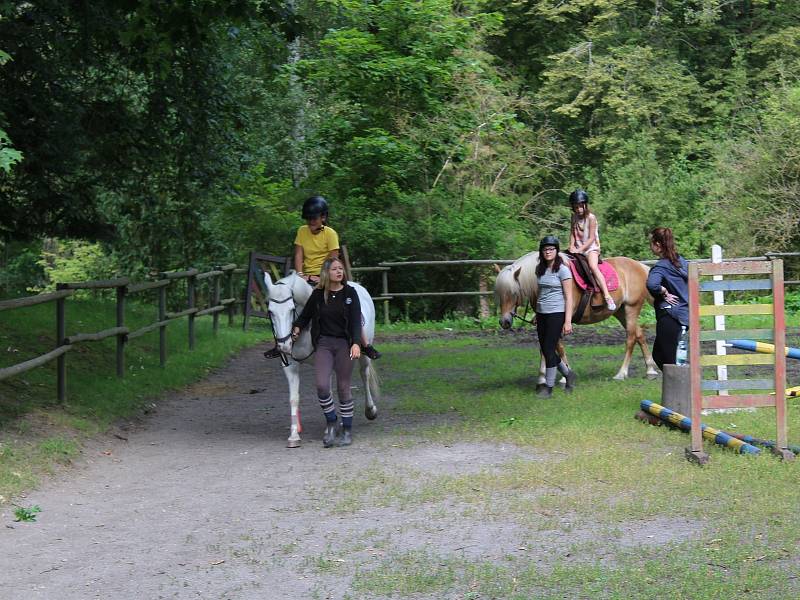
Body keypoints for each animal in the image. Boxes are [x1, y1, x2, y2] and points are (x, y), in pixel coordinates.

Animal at [260, 270, 378, 446]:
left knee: (364, 375)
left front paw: (330, 429)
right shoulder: (290, 365)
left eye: (291, 309)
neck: (305, 330)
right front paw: (294, 435)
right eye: (270, 311)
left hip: (362, 353)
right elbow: (294, 398)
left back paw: (370, 410)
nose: (284, 346)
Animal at [494, 250, 656, 380]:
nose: (504, 322)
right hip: (621, 312)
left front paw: (565, 376)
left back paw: (621, 373)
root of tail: (639, 266)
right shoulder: (544, 320)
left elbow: (558, 346)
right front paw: (543, 376)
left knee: (631, 339)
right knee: (639, 334)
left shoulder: (560, 320)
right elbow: (545, 346)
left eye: (513, 293)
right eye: (499, 293)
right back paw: (650, 369)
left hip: (631, 308)